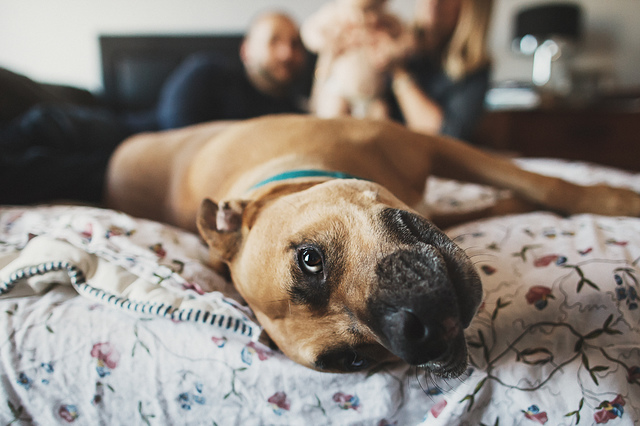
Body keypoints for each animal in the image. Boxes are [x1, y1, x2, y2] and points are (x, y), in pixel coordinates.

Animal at [106, 114, 640, 376]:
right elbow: (500, 202)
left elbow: (545, 184)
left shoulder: (437, 146)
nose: (416, 335)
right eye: (354, 362)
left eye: (310, 260)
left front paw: (616, 198)